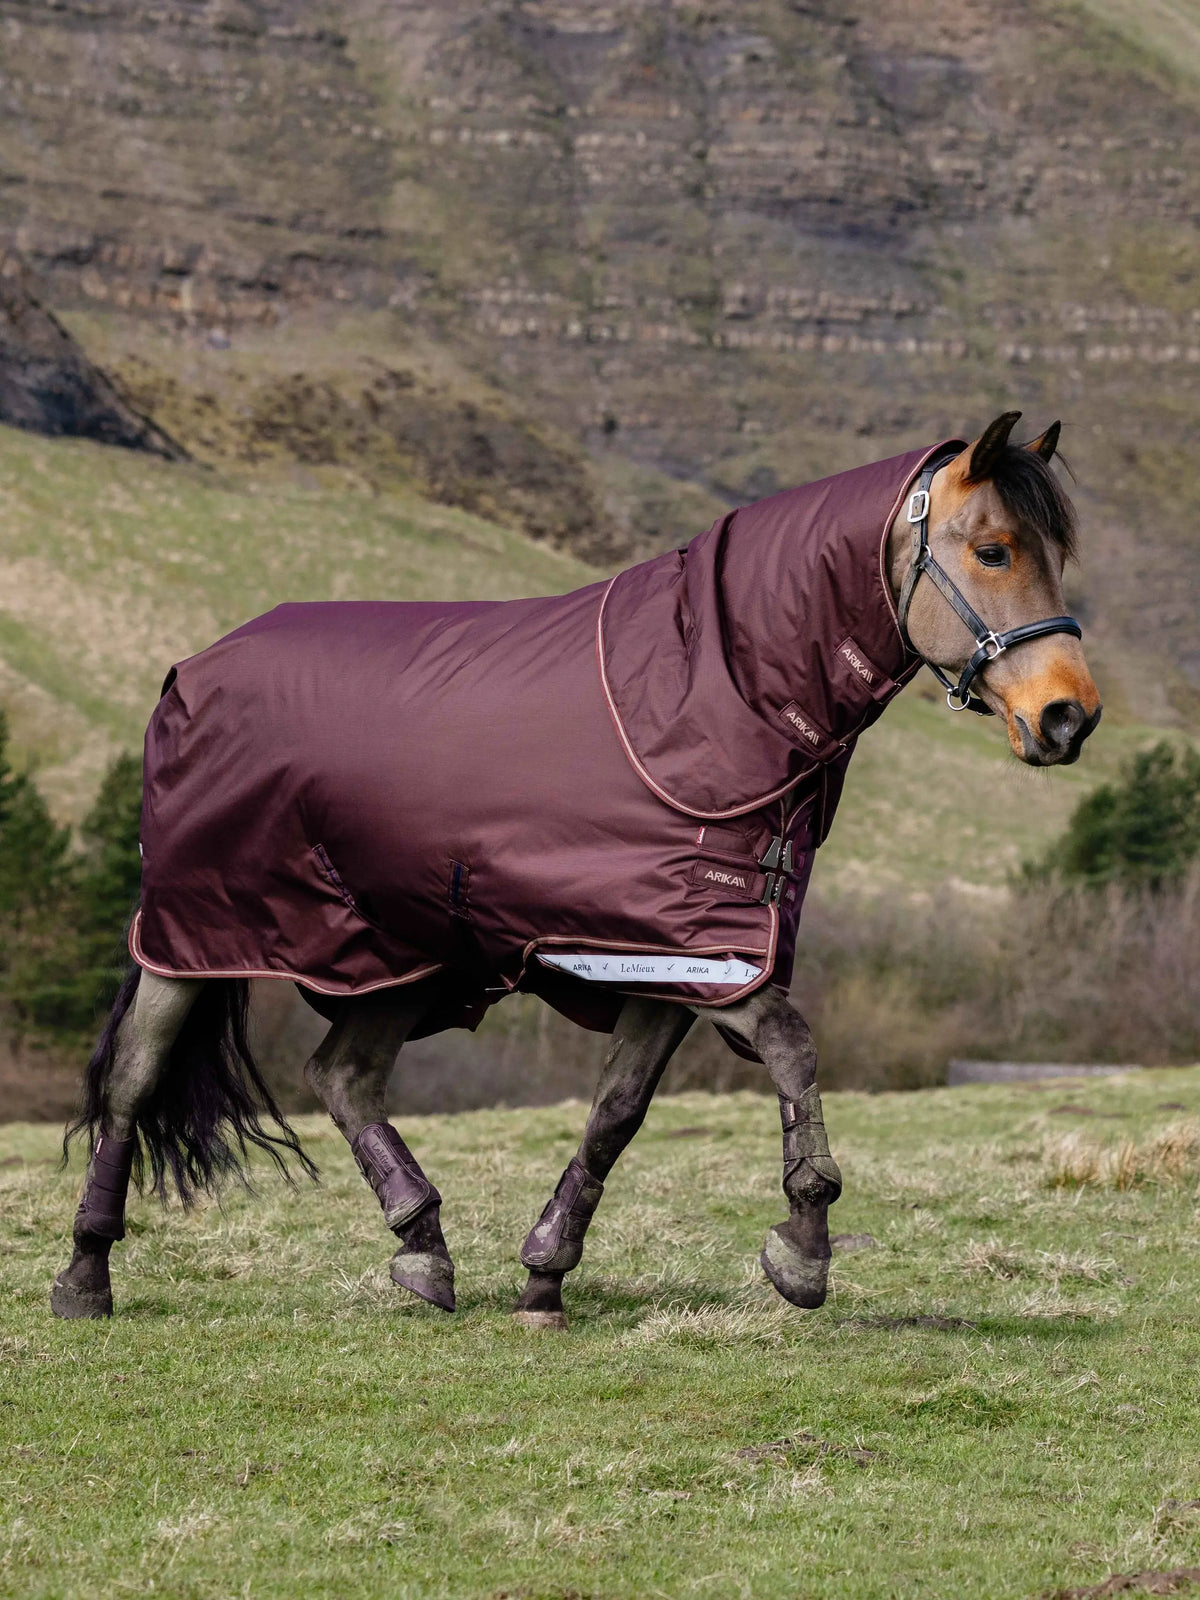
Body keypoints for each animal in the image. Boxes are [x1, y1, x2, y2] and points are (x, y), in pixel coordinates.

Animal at [52, 412, 1101, 1327]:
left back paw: (424, 1250)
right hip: (193, 936)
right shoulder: (705, 958)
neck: (709, 699)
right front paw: (803, 1252)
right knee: (135, 1078)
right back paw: (85, 1274)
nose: (1069, 717)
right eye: (994, 550)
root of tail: (192, 669)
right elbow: (795, 1052)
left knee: (342, 1076)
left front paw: (544, 1278)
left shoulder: (671, 962)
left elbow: (615, 1115)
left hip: (400, 955)